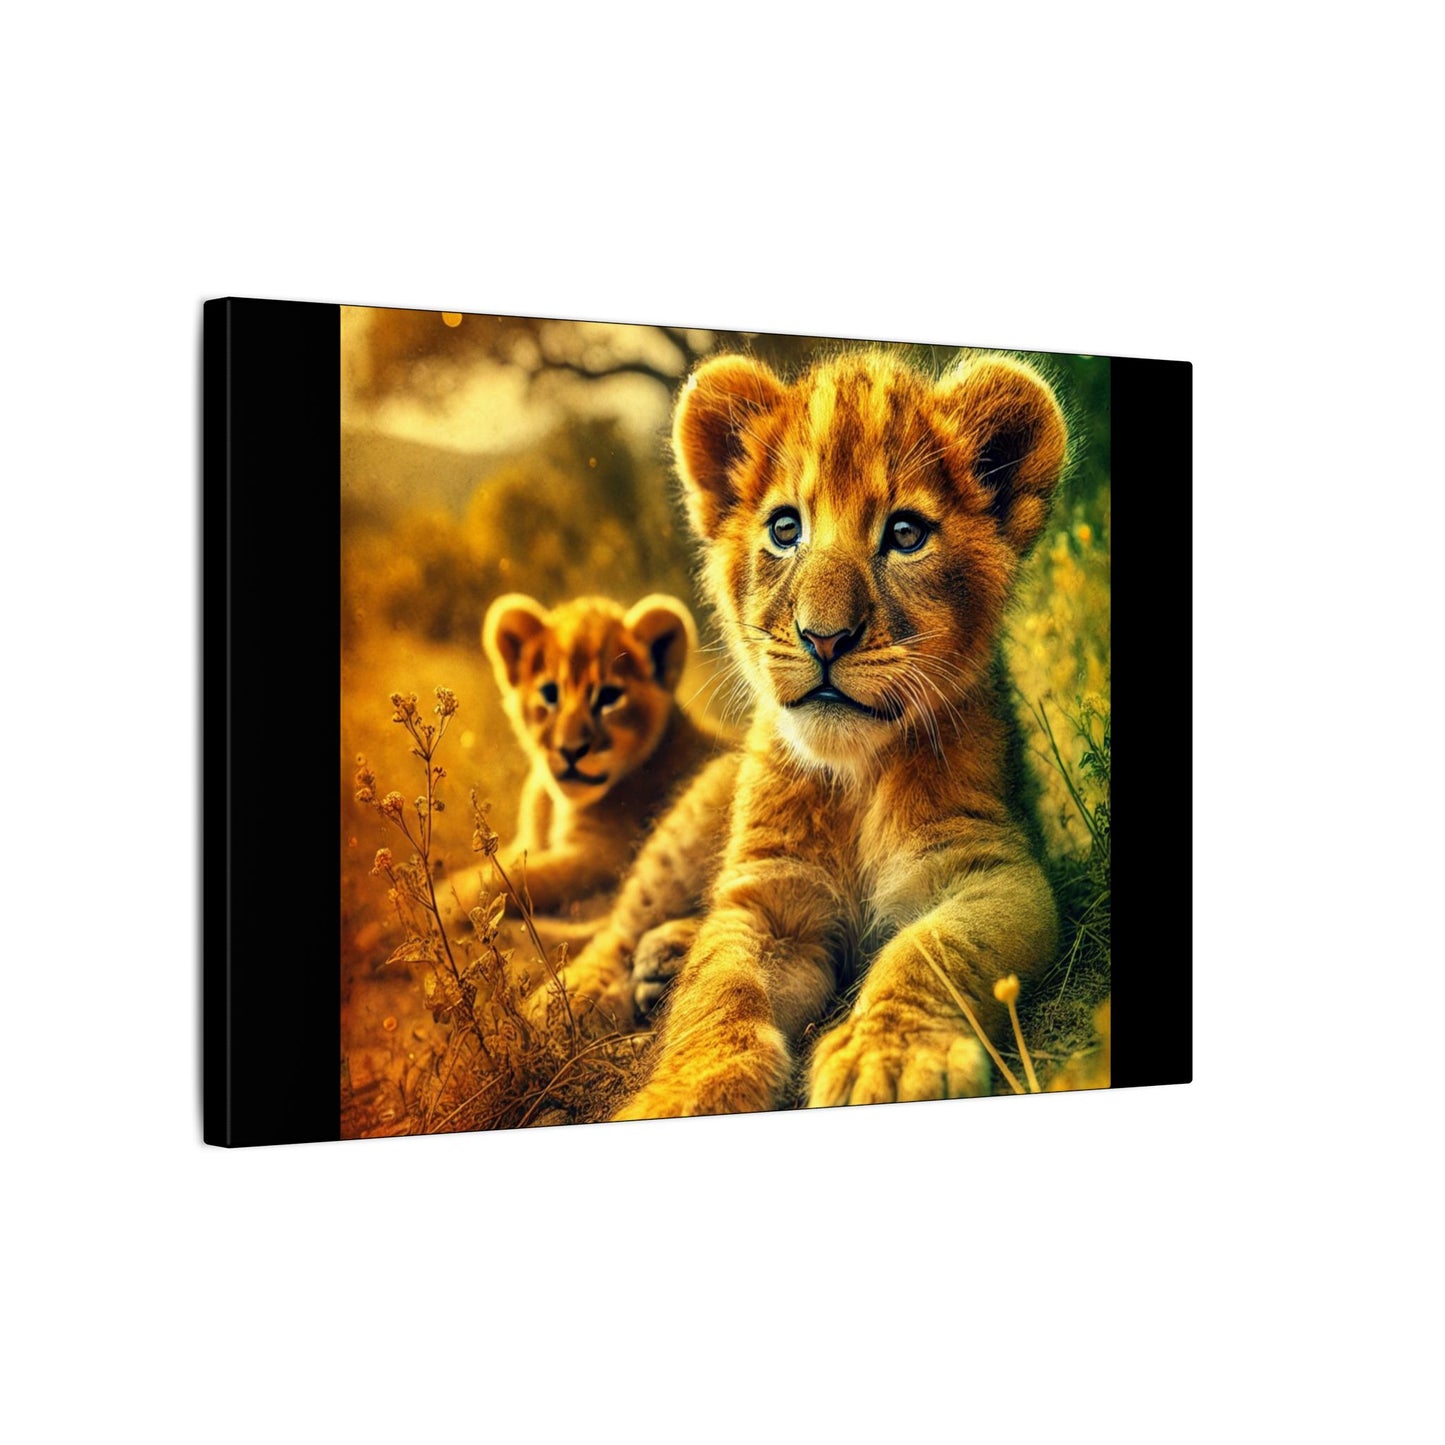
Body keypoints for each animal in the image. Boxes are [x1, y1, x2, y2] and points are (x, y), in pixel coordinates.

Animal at [572, 348, 1070, 1117]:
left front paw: (887, 1060)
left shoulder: (990, 867)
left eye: (905, 534)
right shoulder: (768, 894)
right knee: (618, 922)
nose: (824, 637)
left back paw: (663, 958)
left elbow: (933, 950)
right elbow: (717, 992)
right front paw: (683, 1093)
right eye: (785, 529)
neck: (857, 775)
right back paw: (580, 991)